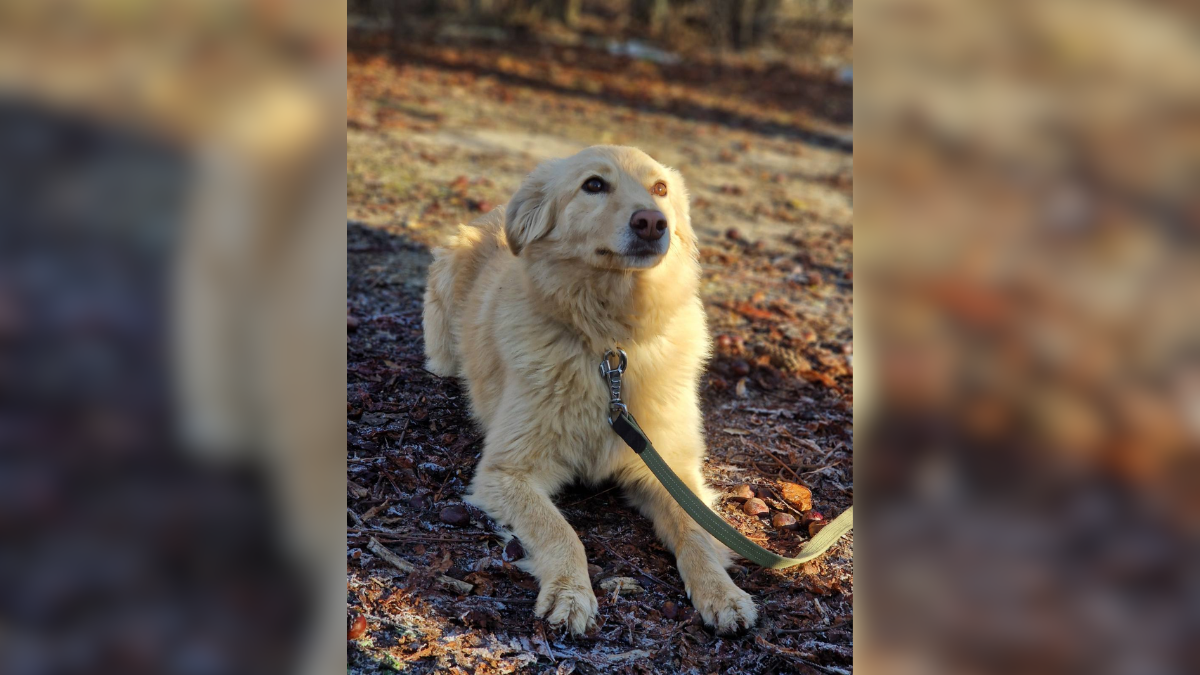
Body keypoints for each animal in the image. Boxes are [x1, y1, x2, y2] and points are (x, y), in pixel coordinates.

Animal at [427, 144, 753, 634]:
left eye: (661, 189)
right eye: (594, 185)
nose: (652, 222)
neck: (611, 344)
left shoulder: (669, 466)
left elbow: (695, 529)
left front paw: (722, 592)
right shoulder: (505, 472)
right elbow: (561, 531)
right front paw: (569, 592)